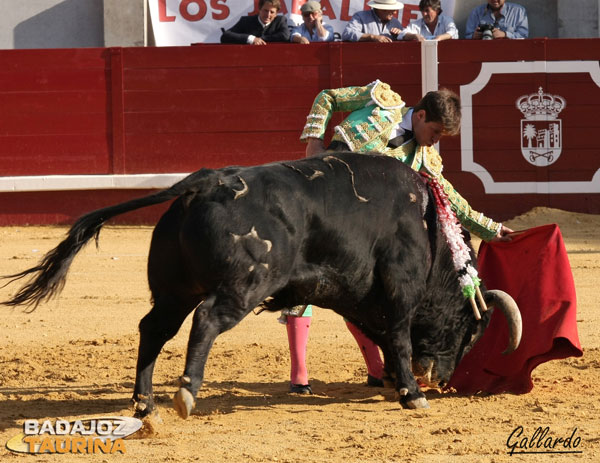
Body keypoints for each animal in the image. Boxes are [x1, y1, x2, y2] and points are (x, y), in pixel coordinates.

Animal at [2, 154, 520, 418]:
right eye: (471, 329)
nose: (443, 381)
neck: (429, 229)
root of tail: (200, 183)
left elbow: (383, 340)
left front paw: (396, 381)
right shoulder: (399, 292)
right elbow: (398, 338)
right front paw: (411, 393)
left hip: (174, 290)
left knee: (154, 329)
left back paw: (145, 404)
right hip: (243, 285)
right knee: (207, 320)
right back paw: (186, 393)